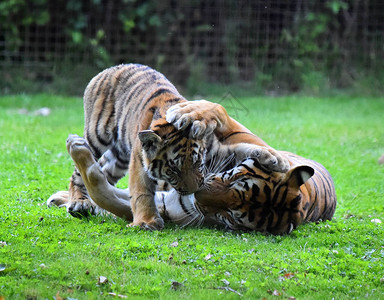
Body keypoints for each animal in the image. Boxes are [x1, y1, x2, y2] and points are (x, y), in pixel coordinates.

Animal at [48, 133, 336, 234]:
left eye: (230, 216)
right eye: (234, 179)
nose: (197, 196)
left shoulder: (165, 205)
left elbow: (103, 193)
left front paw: (77, 147)